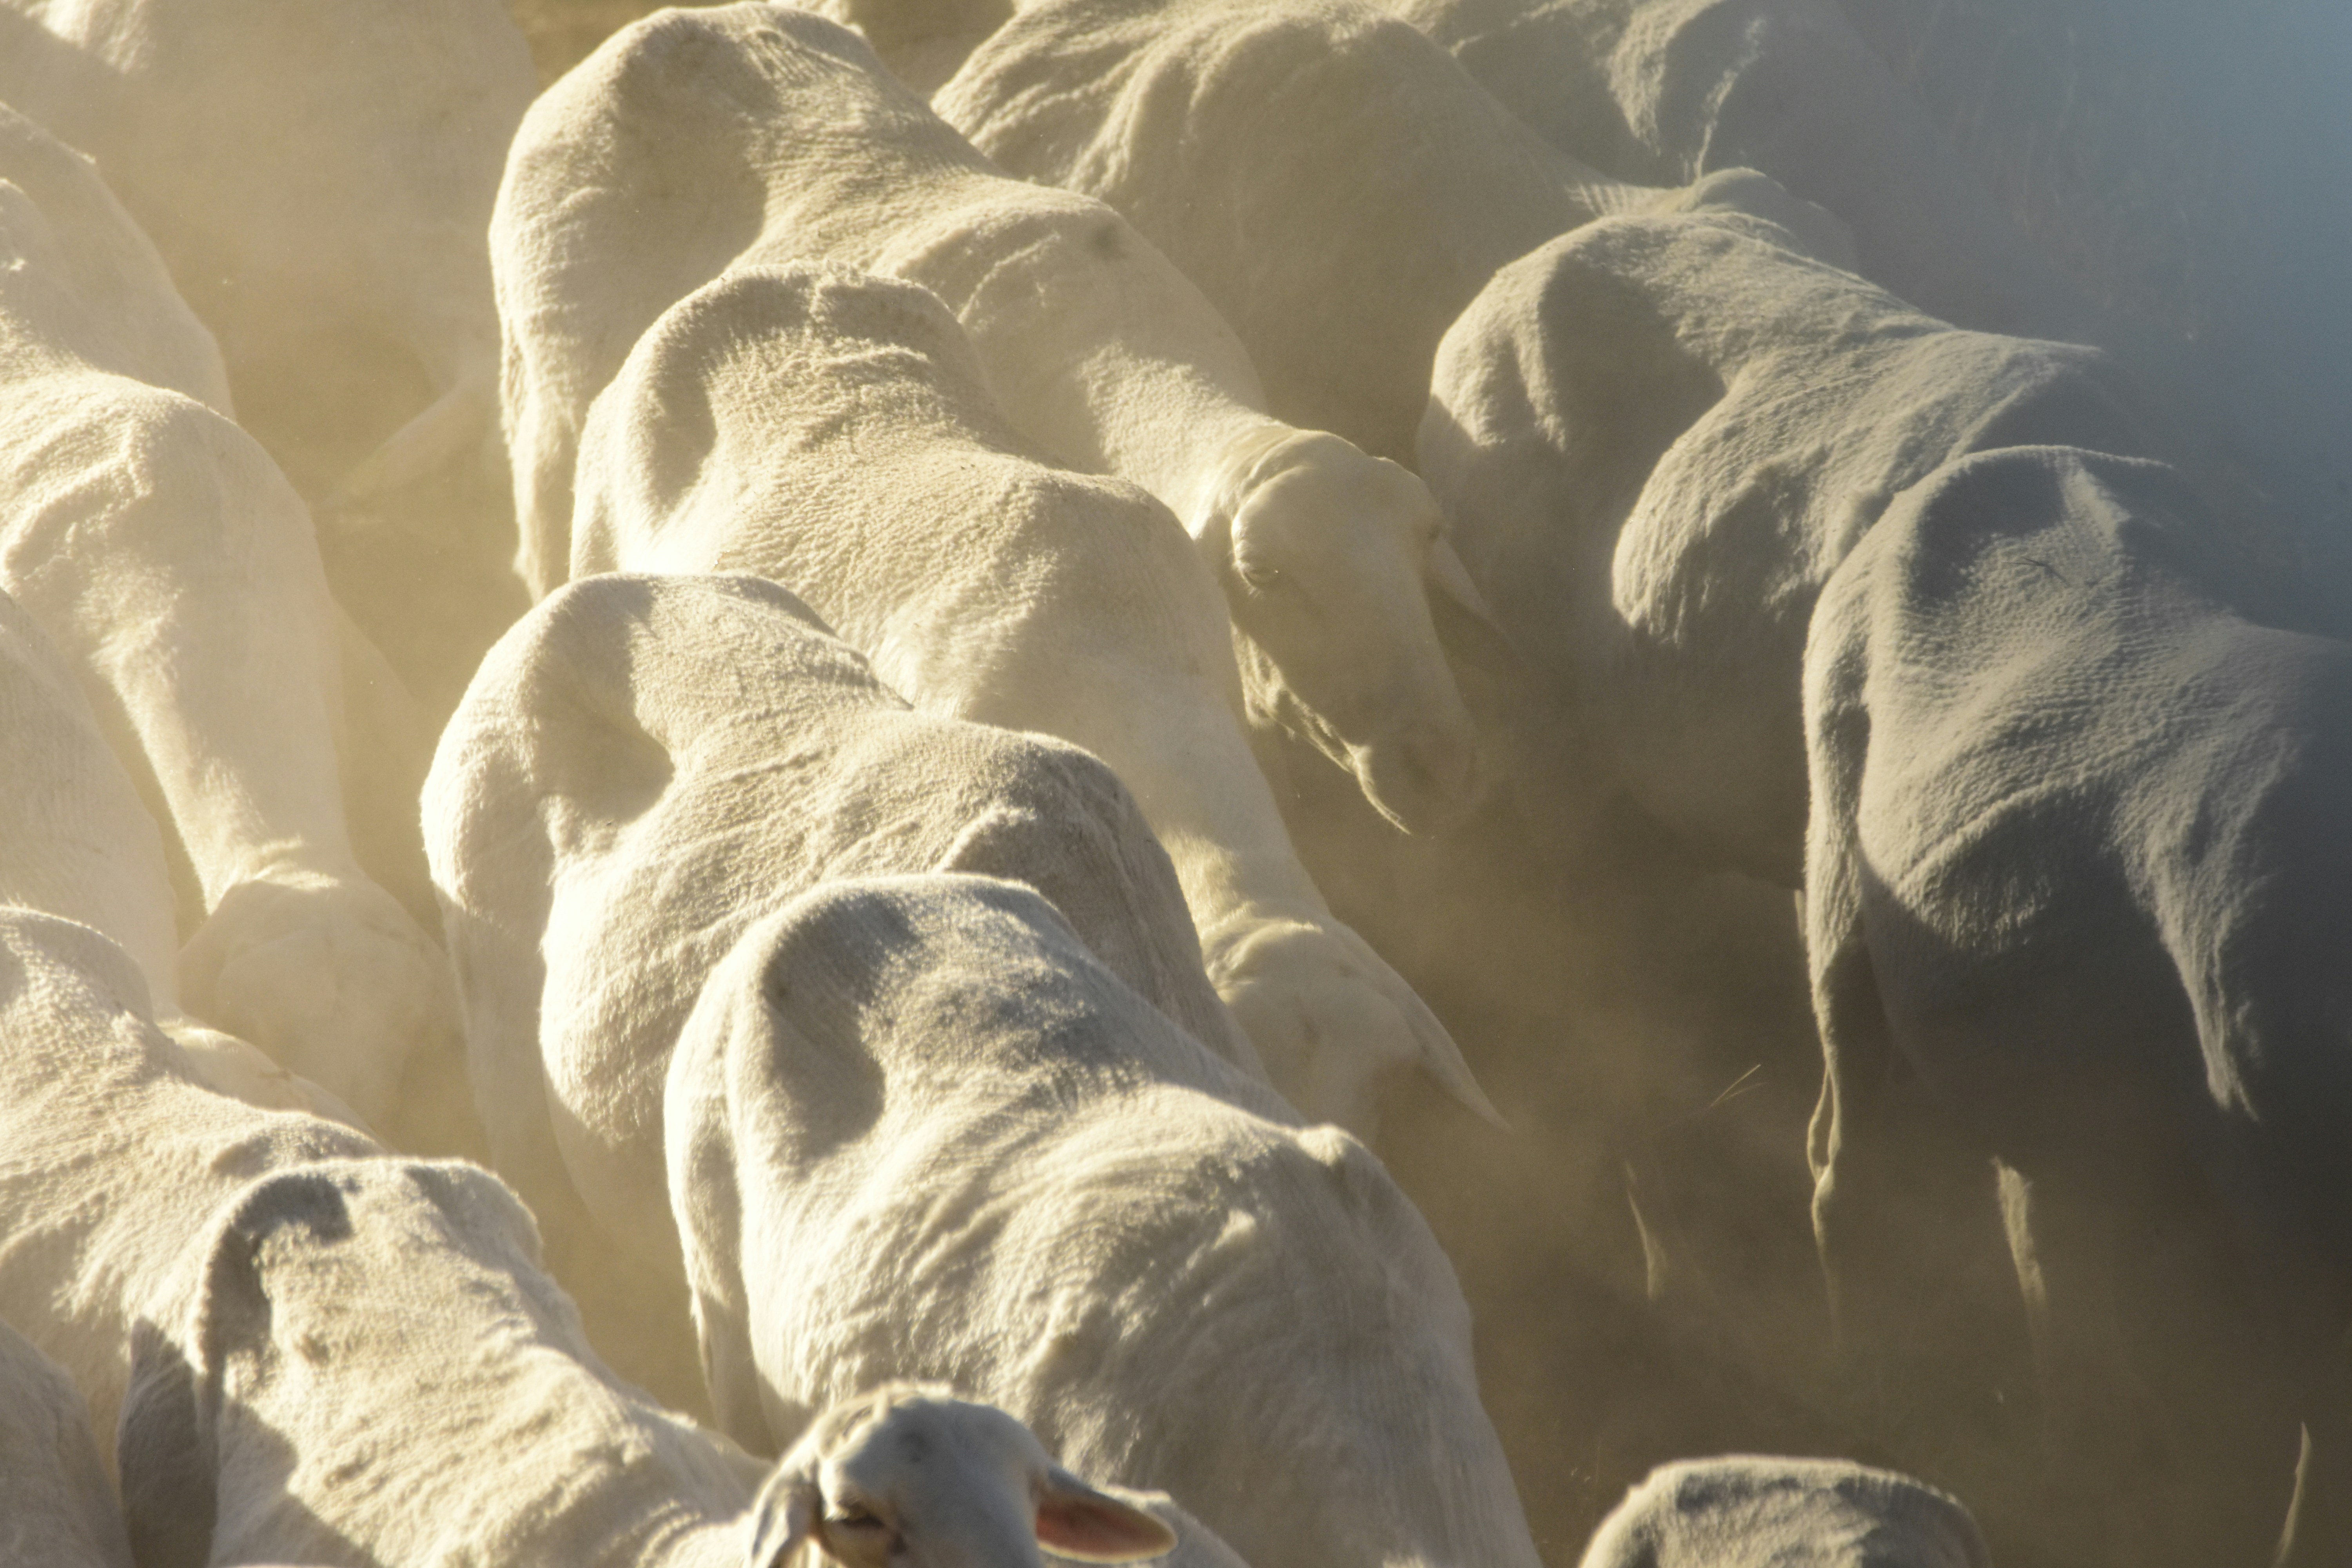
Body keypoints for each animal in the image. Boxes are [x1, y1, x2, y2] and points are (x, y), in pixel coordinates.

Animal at [494, 6, 1477, 841]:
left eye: (1424, 545)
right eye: (1264, 573)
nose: (1440, 768)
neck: (1109, 353)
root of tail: (655, 30)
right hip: (546, 437)